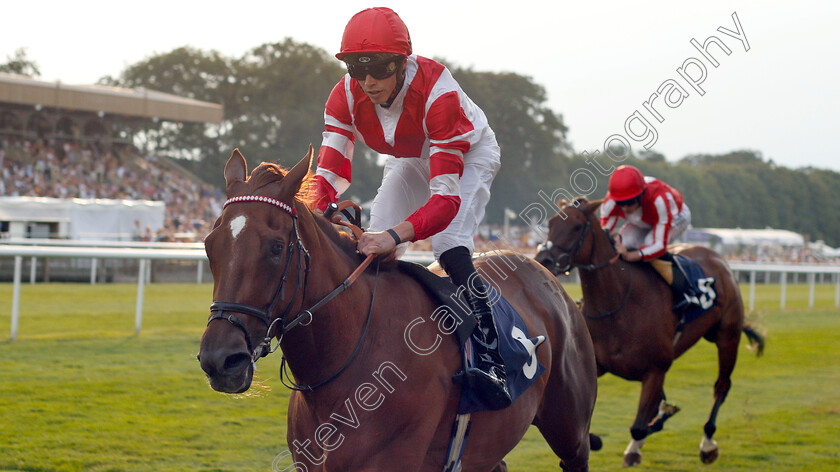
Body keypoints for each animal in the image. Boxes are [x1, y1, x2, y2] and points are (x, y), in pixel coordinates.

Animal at [536, 197, 764, 466]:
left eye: (576, 226)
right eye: (551, 222)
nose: (543, 259)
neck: (618, 304)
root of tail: (718, 258)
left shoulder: (656, 369)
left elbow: (637, 427)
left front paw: (633, 449)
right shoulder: (596, 367)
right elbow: (589, 426)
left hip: (727, 336)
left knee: (721, 386)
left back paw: (708, 443)